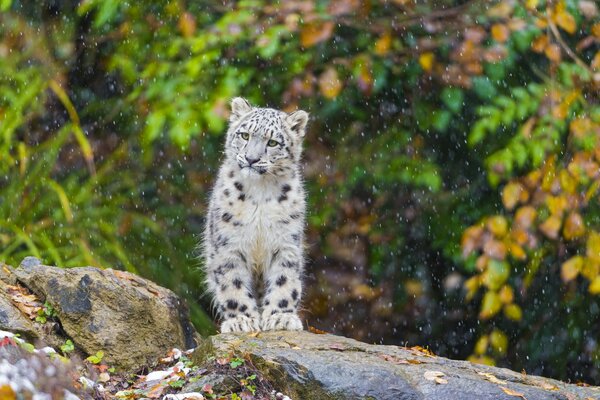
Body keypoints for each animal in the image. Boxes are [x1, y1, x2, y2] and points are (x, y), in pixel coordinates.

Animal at [204, 96, 310, 332]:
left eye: (272, 143)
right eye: (245, 135)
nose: (251, 159)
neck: (260, 191)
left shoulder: (286, 243)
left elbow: (285, 280)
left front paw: (280, 317)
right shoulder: (229, 244)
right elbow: (232, 283)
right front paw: (241, 320)